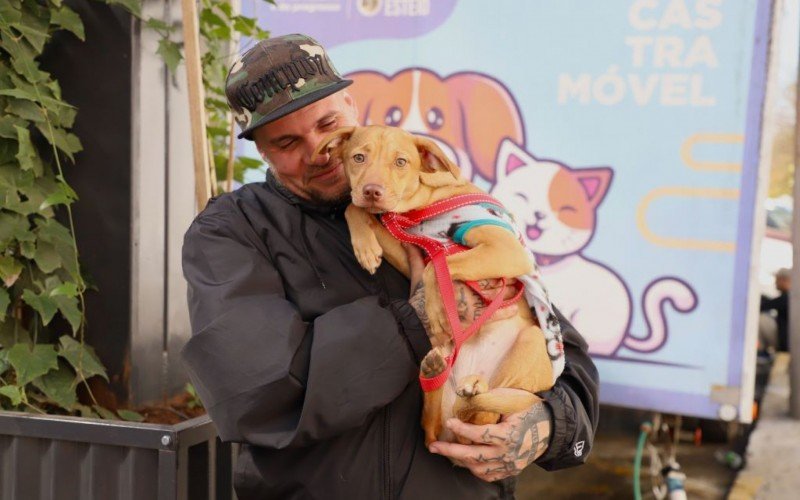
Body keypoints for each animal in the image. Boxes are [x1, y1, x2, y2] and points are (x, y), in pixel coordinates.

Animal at [316, 125, 560, 446]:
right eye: (358, 157)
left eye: (401, 162)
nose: (372, 191)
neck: (423, 202)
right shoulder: (411, 250)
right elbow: (355, 210)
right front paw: (366, 248)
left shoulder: (507, 250)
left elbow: (437, 268)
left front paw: (437, 311)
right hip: (442, 400)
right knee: (432, 424)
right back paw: (440, 374)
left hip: (530, 344)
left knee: (487, 415)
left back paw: (476, 388)